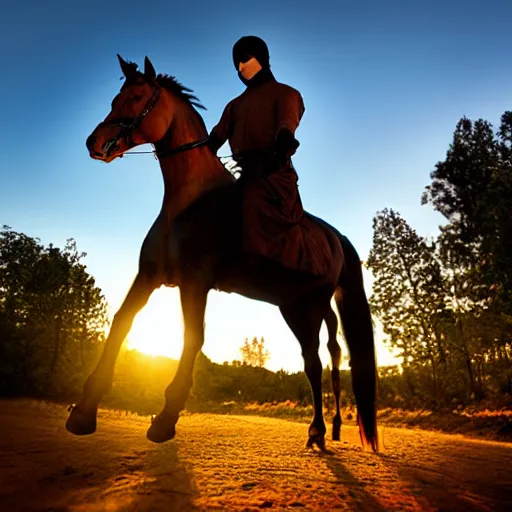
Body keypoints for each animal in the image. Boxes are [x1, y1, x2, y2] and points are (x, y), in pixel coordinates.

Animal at [66, 53, 380, 452]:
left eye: (137, 98)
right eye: (115, 99)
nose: (95, 142)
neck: (189, 204)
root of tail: (335, 237)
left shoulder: (195, 283)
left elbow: (192, 338)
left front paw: (166, 418)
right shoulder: (149, 277)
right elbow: (122, 322)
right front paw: (84, 410)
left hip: (310, 308)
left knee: (315, 363)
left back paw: (318, 431)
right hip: (293, 307)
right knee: (319, 361)